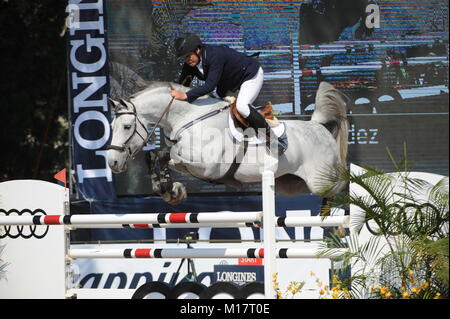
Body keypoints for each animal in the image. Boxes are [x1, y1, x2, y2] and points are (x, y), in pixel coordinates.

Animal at [106, 81, 348, 206]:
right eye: (112, 125)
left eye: (126, 126)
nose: (113, 163)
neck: (188, 117)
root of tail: (318, 126)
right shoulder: (188, 163)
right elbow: (158, 155)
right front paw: (169, 189)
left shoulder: (209, 166)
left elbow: (167, 154)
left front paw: (170, 188)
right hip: (290, 185)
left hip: (321, 181)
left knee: (342, 188)